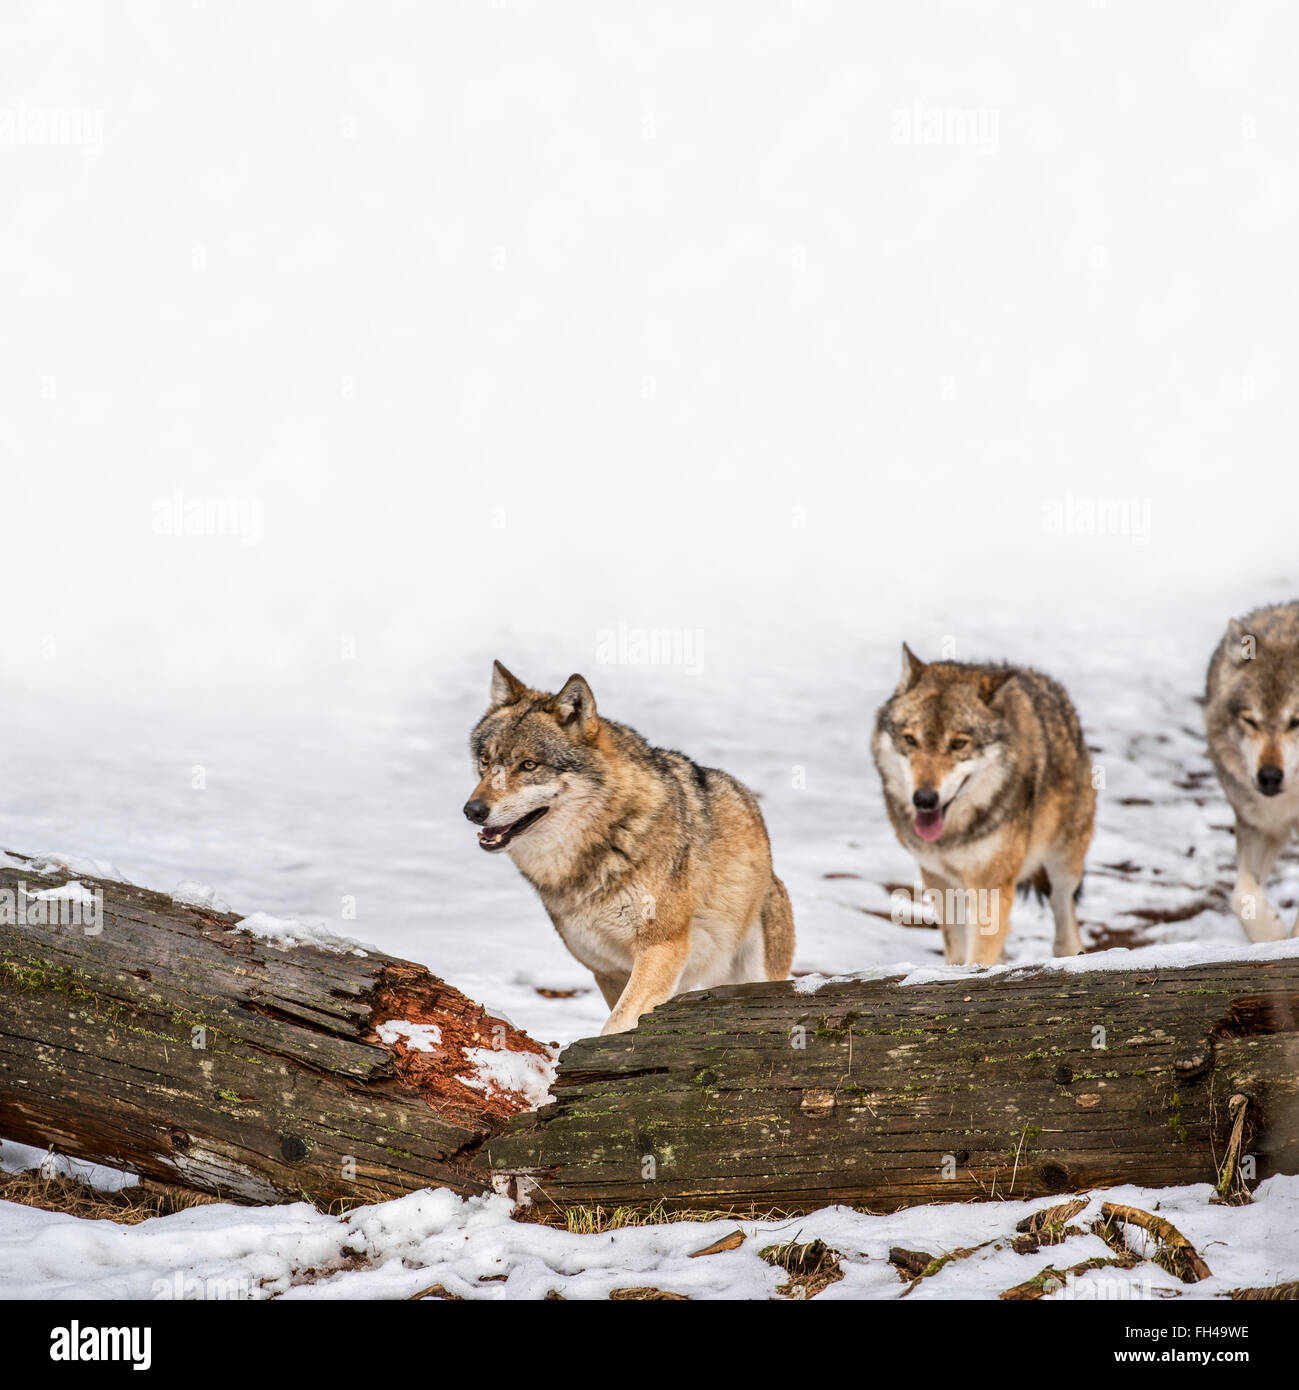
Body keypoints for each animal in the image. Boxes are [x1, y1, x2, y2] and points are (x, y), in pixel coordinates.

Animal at [464, 662, 795, 1034]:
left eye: (529, 765)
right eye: (485, 761)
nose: (472, 810)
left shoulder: (660, 948)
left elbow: (617, 1025)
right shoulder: (607, 969)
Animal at [872, 646, 1096, 966]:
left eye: (959, 744)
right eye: (910, 740)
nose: (924, 799)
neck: (954, 836)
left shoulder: (992, 885)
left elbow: (980, 953)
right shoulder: (938, 879)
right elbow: (957, 950)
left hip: (1063, 865)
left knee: (1064, 917)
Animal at [1205, 601, 1299, 942]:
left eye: (1295, 721)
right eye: (1250, 721)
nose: (1269, 776)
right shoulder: (1259, 825)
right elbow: (1241, 893)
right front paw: (1271, 936)